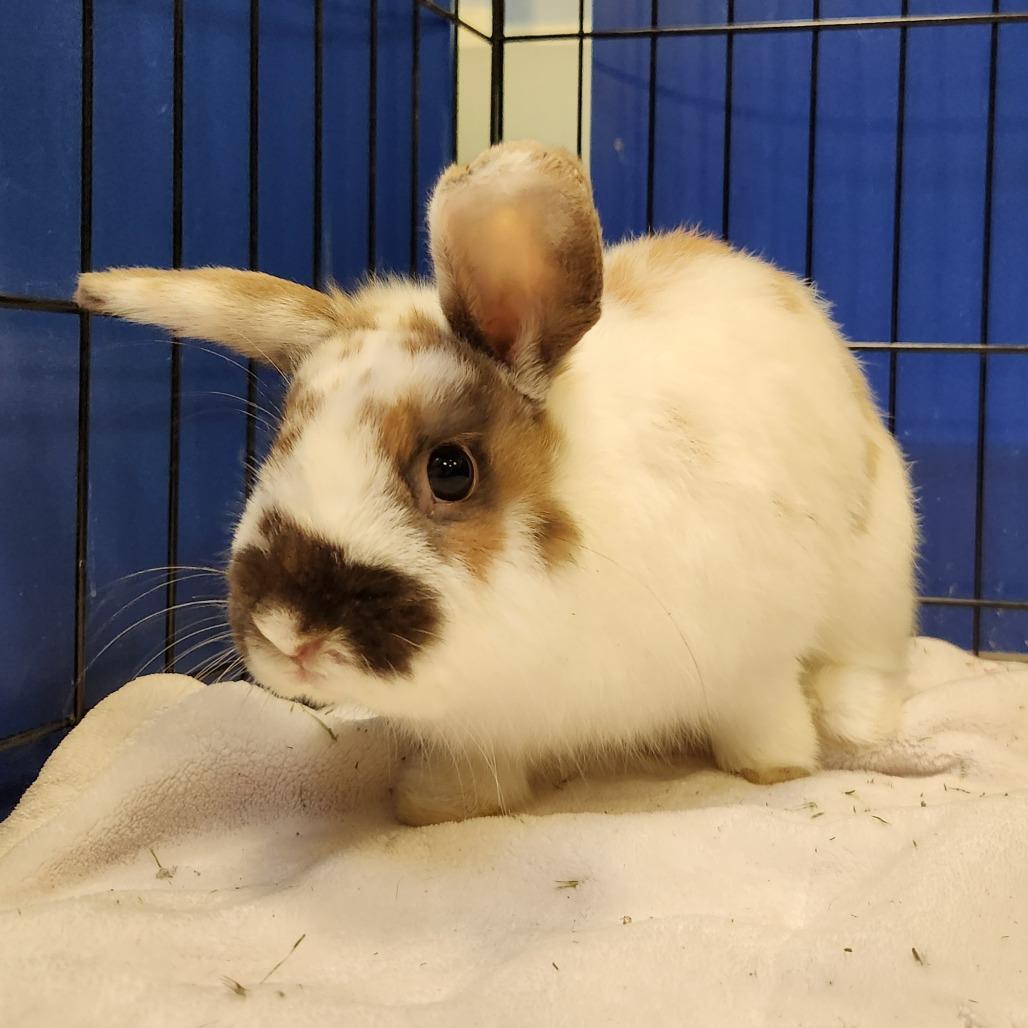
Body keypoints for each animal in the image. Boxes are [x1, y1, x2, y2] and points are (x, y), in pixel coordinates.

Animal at [75, 140, 917, 826]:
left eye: (451, 471)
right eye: (279, 445)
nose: (288, 629)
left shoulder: (755, 663)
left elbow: (763, 720)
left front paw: (774, 769)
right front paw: (433, 806)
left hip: (873, 581)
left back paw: (856, 718)